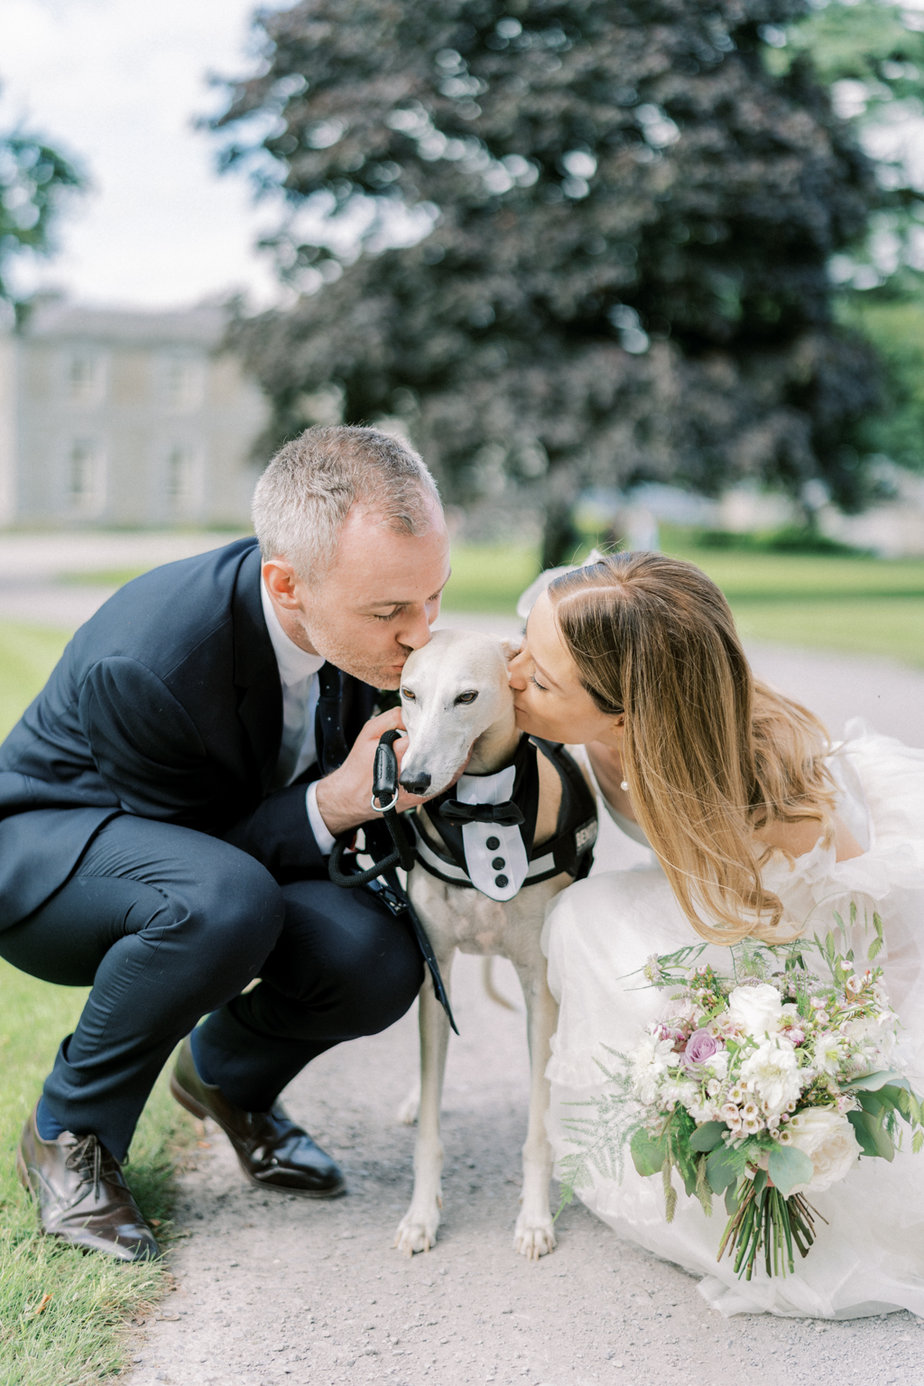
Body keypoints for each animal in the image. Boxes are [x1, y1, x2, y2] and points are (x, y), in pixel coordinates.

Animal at [393, 634, 595, 1264]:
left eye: (466, 697)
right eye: (407, 693)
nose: (412, 780)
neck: (480, 809)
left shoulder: (537, 983)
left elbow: (536, 1129)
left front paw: (534, 1219)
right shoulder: (435, 972)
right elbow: (431, 1130)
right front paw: (421, 1216)